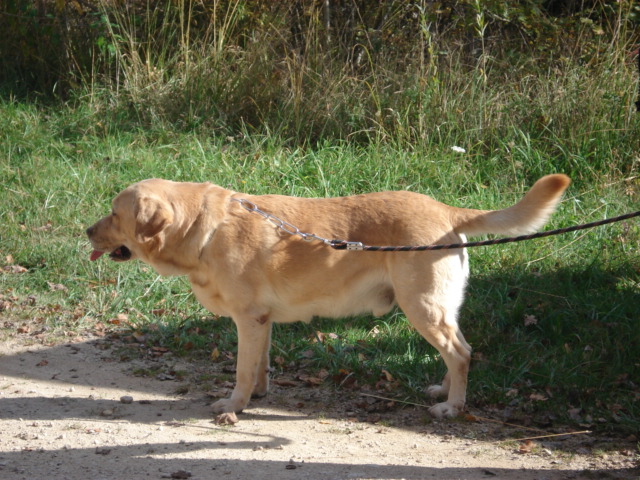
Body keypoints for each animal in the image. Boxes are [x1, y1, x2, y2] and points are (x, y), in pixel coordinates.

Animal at [85, 174, 568, 418]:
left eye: (113, 213)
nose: (86, 230)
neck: (203, 229)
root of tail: (446, 210)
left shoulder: (247, 320)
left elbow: (241, 371)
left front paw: (234, 406)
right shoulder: (261, 322)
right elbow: (260, 367)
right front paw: (258, 396)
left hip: (422, 308)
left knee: (462, 353)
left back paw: (453, 407)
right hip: (437, 309)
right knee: (457, 352)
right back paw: (445, 392)